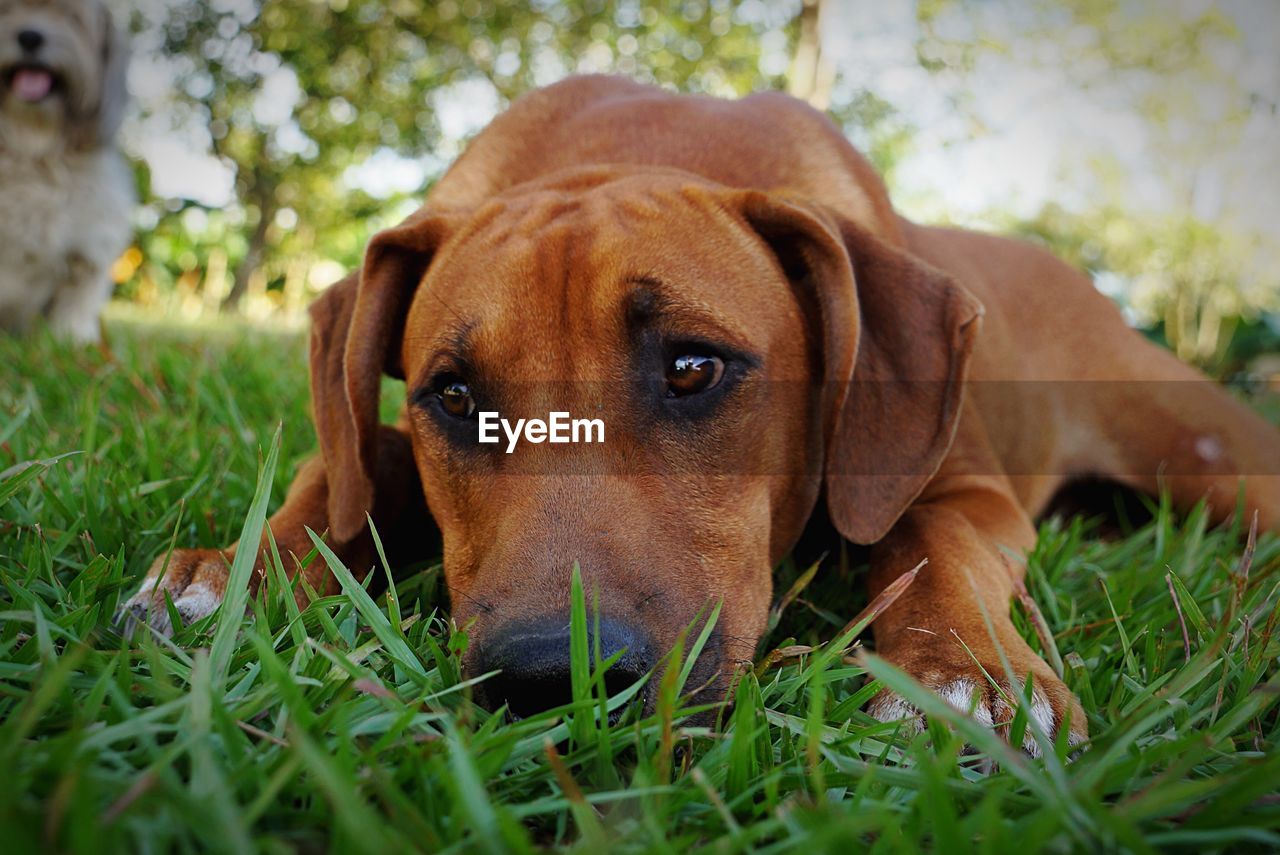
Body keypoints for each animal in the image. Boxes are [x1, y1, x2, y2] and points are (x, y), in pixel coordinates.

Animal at [0, 0, 131, 340]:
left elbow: (76, 305)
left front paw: (74, 340)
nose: (30, 36)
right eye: (6, 10)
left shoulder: (89, 249)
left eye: (70, 17)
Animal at [120, 76, 1280, 752]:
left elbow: (932, 537)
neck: (637, 148)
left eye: (692, 368)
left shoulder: (961, 481)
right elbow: (341, 468)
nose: (552, 678)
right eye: (454, 394)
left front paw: (965, 673)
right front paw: (234, 573)